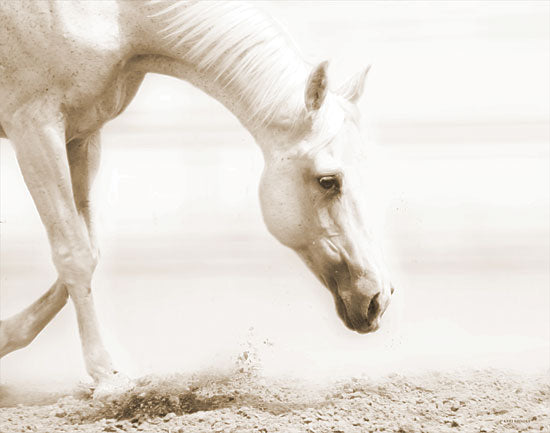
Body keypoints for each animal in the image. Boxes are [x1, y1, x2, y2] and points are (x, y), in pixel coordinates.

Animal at [1, 0, 396, 384]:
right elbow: (74, 254)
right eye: (327, 181)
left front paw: (5, 335)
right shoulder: (35, 127)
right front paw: (106, 376)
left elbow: (88, 249)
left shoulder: (82, 134)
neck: (118, 15)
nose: (377, 299)